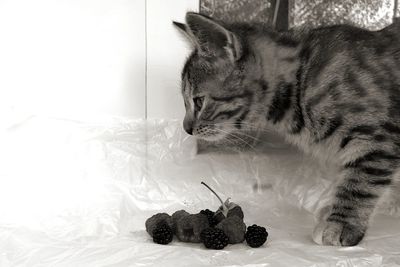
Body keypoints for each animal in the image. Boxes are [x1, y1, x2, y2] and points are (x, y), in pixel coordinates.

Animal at [173, 12, 400, 247]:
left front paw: (341, 223)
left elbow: (360, 181)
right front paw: (330, 211)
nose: (187, 129)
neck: (301, 82)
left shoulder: (377, 138)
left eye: (199, 101)